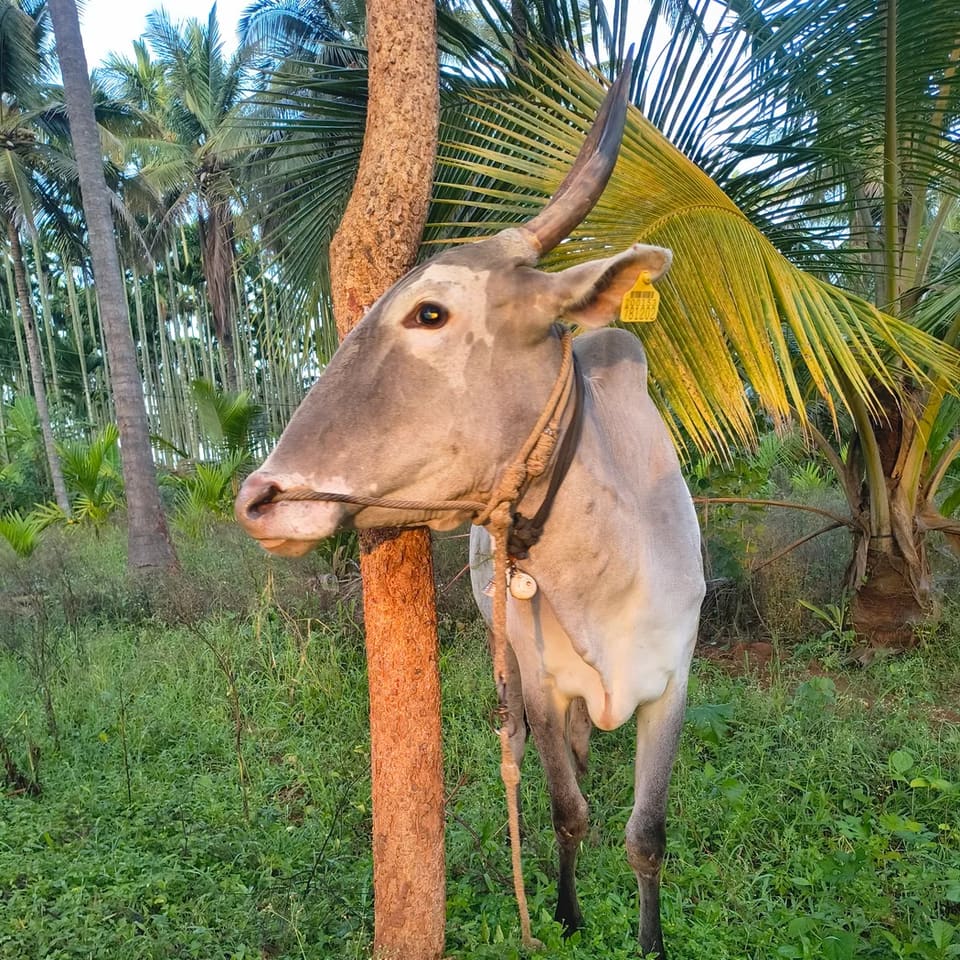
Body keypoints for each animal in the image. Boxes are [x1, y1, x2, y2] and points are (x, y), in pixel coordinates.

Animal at [235, 69, 705, 958]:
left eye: (431, 312)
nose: (259, 497)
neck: (608, 570)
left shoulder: (675, 682)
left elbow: (648, 836)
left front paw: (651, 938)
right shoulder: (544, 681)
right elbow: (566, 810)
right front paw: (564, 913)